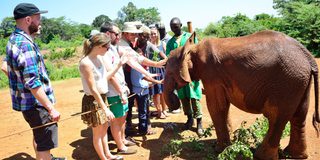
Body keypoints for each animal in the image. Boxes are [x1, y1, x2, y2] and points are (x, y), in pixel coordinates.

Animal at [164, 30, 320, 160]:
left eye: (169, 73)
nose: (174, 103)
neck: (192, 48)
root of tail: (309, 57)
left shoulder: (211, 75)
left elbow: (216, 107)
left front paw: (219, 150)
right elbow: (223, 106)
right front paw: (227, 144)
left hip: (287, 81)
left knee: (276, 117)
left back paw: (260, 156)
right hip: (300, 81)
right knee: (299, 116)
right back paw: (293, 155)